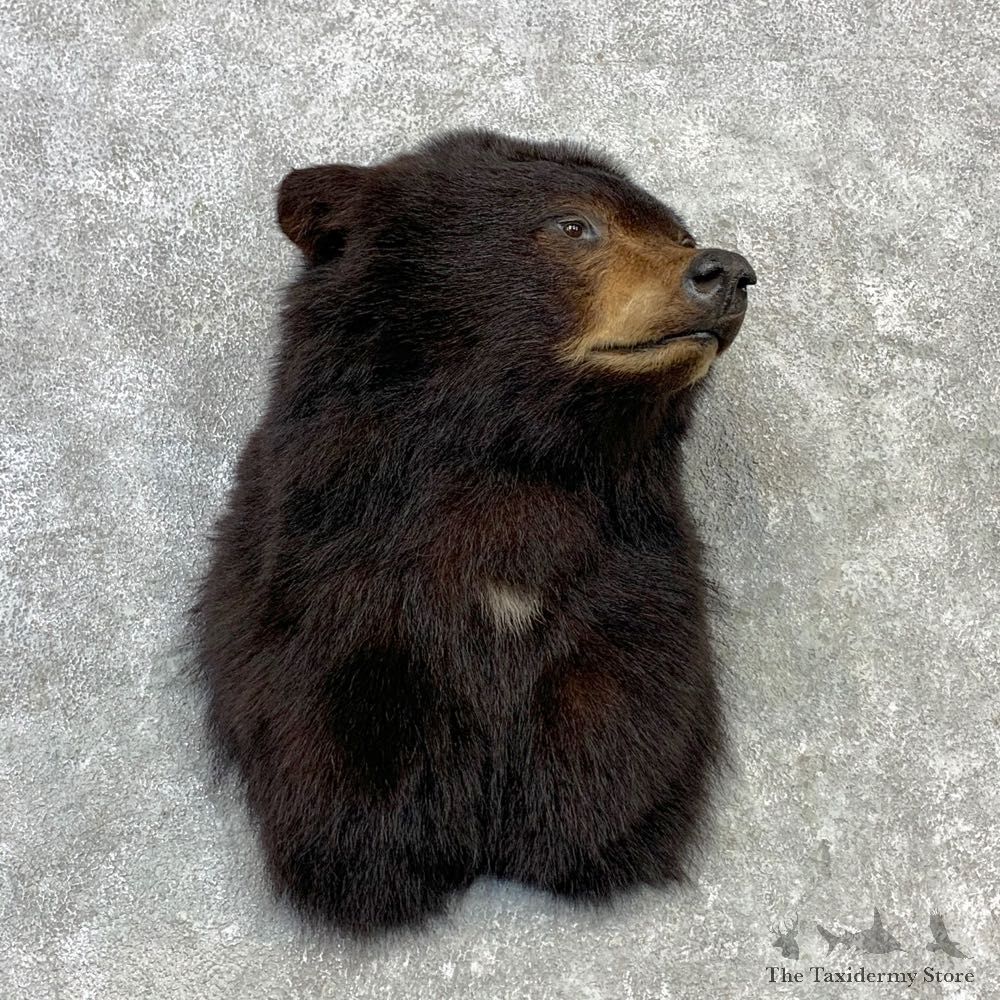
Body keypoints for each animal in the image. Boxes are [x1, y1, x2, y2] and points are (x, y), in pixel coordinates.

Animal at [190, 127, 756, 937]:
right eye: (573, 225)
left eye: (677, 234)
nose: (727, 271)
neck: (516, 455)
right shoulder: (327, 553)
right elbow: (331, 705)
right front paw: (376, 853)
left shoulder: (638, 563)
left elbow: (632, 703)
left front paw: (587, 828)